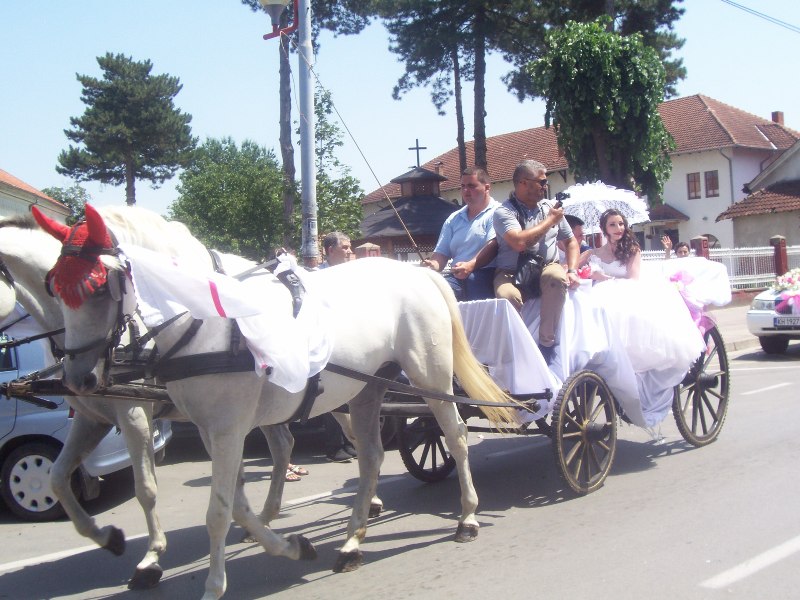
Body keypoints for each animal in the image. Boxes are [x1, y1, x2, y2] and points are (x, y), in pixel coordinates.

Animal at [0, 213, 296, 588]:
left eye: (100, 288)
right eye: (54, 286)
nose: (78, 378)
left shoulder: (134, 414)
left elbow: (145, 488)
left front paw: (152, 557)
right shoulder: (91, 419)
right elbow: (56, 477)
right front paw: (106, 537)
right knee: (283, 445)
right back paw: (268, 516)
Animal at [31, 205, 516, 600]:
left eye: (98, 287)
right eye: (54, 287)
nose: (77, 379)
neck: (209, 319)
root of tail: (418, 272)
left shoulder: (225, 428)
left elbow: (218, 512)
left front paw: (211, 585)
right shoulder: (211, 430)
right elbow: (237, 506)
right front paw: (291, 546)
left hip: (429, 376)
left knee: (454, 436)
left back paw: (467, 517)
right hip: (365, 390)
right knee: (372, 458)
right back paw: (352, 541)